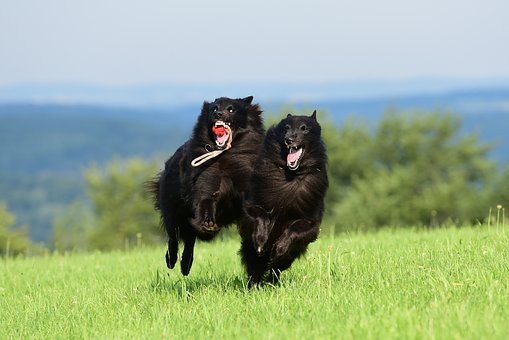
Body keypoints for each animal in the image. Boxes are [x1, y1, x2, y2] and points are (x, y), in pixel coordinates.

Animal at [150, 94, 262, 274]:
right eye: (214, 108)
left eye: (231, 109)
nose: (218, 114)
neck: (223, 155)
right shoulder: (205, 184)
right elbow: (206, 200)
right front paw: (208, 222)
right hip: (173, 211)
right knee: (174, 237)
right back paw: (172, 260)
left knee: (189, 240)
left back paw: (186, 265)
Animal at [237, 111, 328, 284]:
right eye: (286, 128)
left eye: (304, 128)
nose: (289, 139)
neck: (291, 174)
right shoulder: (250, 207)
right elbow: (261, 215)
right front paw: (261, 238)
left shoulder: (310, 223)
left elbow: (294, 229)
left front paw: (279, 248)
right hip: (251, 252)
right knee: (255, 268)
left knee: (276, 267)